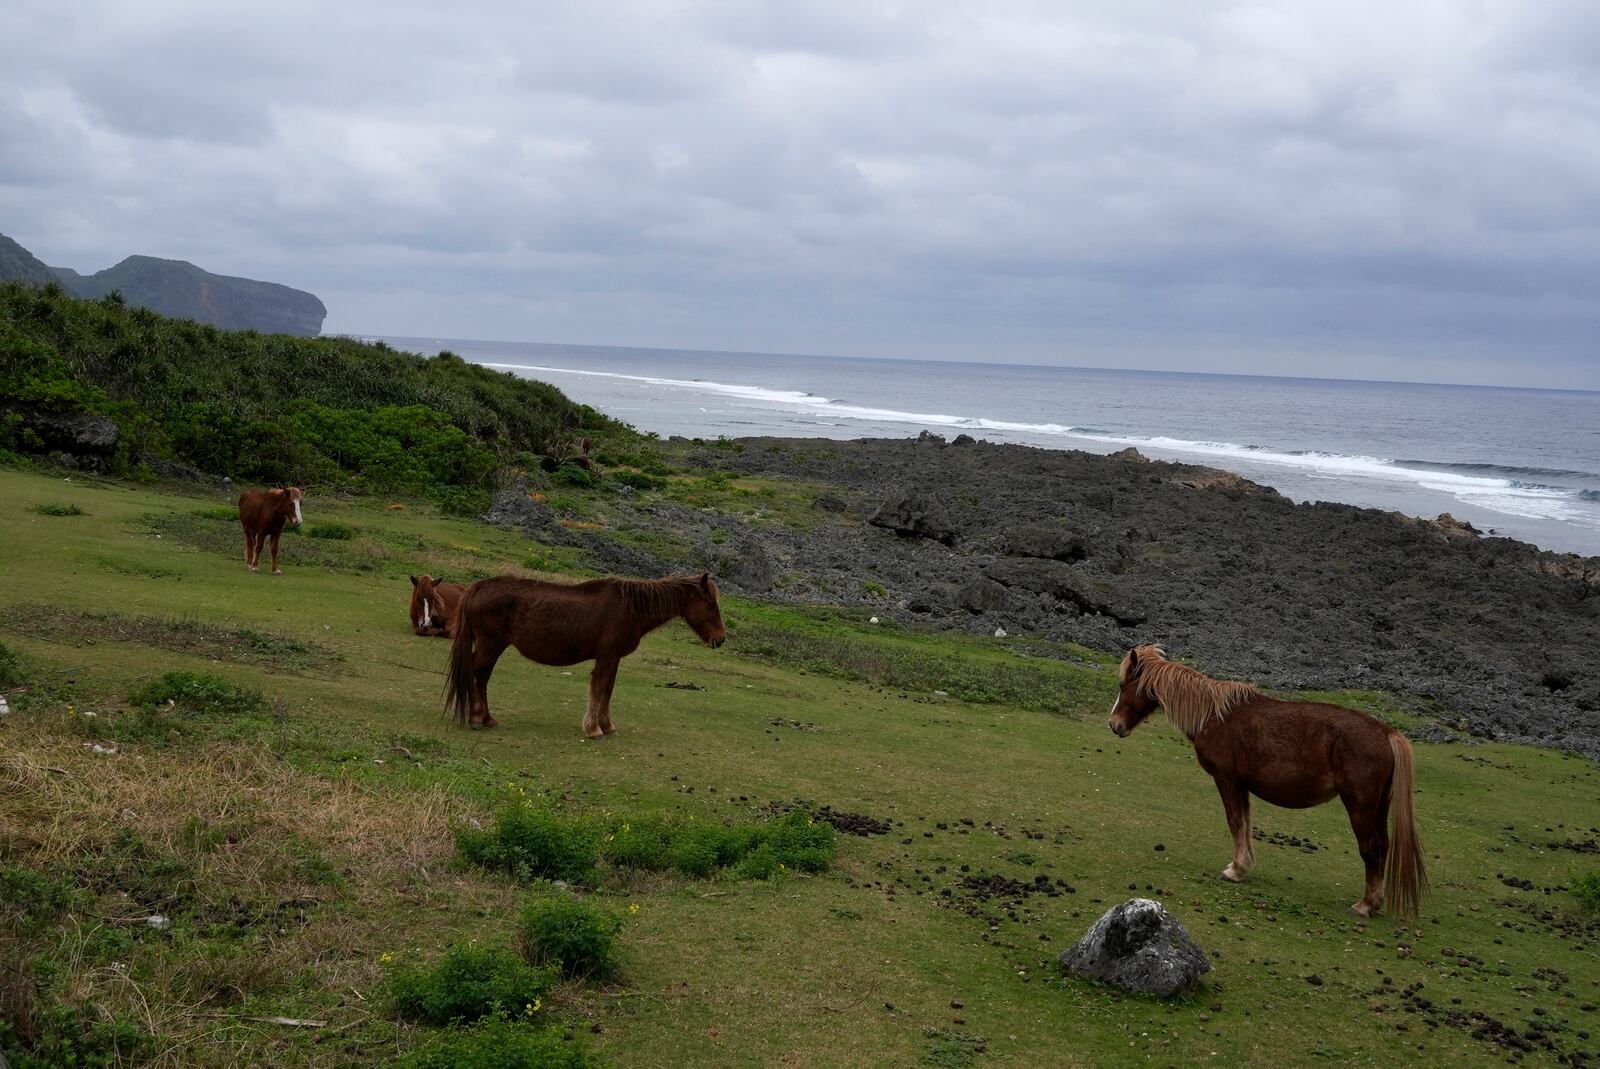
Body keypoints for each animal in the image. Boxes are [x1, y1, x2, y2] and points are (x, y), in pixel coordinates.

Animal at [448, 576, 729, 736]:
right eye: (711, 604)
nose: (721, 638)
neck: (630, 608)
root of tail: (478, 587)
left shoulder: (614, 658)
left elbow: (608, 691)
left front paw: (607, 725)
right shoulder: (606, 657)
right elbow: (599, 689)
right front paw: (594, 729)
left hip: (494, 647)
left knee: (482, 678)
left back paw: (487, 718)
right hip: (490, 646)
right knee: (472, 673)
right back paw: (476, 718)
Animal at [1107, 643, 1433, 921]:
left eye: (1124, 686)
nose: (1114, 724)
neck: (1214, 715)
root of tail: (1388, 733)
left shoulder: (1226, 780)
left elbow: (1235, 822)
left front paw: (1235, 871)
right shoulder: (1241, 784)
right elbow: (1245, 823)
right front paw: (1242, 866)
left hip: (1359, 806)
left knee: (1371, 848)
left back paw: (1365, 905)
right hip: (1378, 807)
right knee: (1383, 847)